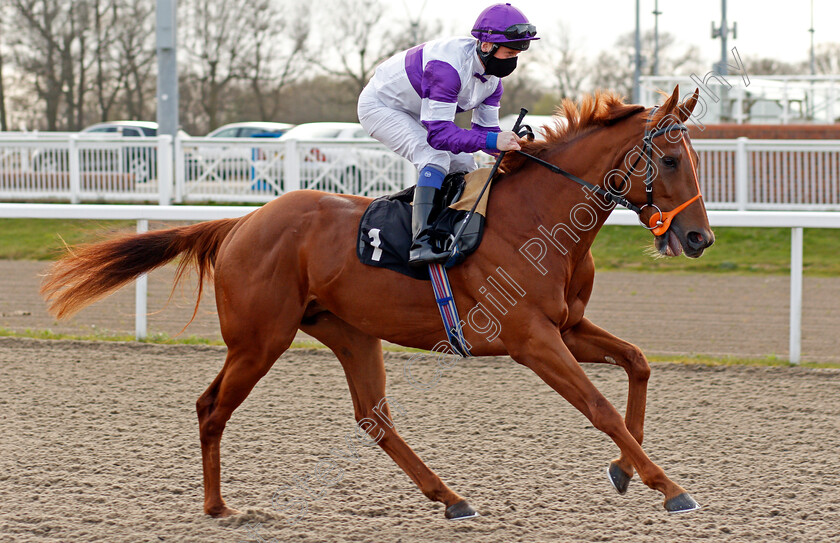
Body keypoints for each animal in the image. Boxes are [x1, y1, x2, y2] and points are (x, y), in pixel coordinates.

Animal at [41, 87, 716, 520]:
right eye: (669, 159)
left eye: (695, 158)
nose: (698, 238)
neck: (538, 217)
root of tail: (241, 223)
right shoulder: (532, 339)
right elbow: (598, 407)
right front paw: (668, 486)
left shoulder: (568, 326)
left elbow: (637, 363)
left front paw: (627, 470)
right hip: (260, 339)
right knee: (211, 407)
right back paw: (217, 506)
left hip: (350, 332)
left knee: (374, 418)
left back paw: (451, 498)